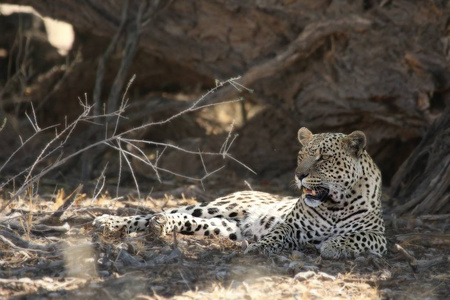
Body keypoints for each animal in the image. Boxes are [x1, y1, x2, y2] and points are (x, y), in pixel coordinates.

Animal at [92, 127, 386, 258]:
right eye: (301, 156)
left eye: (323, 158)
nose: (299, 175)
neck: (335, 204)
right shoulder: (291, 226)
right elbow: (276, 234)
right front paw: (259, 247)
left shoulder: (379, 237)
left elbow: (356, 236)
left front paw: (333, 246)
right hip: (218, 206)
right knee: (156, 212)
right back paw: (110, 220)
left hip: (225, 228)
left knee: (187, 220)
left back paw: (162, 225)